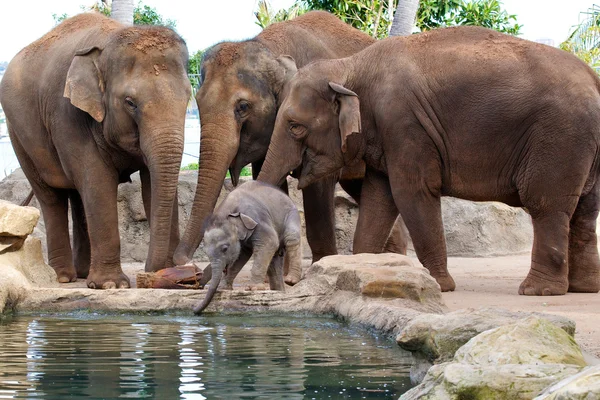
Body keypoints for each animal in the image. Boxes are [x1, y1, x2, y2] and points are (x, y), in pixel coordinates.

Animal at [0, 12, 191, 288]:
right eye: (130, 103)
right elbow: (97, 180)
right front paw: (112, 285)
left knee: (78, 195)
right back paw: (63, 276)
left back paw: (82, 273)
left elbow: (151, 182)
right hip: (18, 134)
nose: (151, 273)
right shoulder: (67, 113)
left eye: (188, 99)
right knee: (51, 196)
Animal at [173, 10, 408, 266]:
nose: (182, 261)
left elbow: (318, 192)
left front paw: (320, 266)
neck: (271, 49)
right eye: (198, 103)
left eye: (243, 107)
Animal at [192, 180, 302, 314]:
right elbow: (241, 255)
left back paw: (291, 281)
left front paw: (253, 288)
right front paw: (224, 288)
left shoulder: (258, 221)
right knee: (274, 260)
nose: (194, 309)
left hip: (291, 214)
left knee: (291, 238)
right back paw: (278, 291)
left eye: (225, 249)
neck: (227, 212)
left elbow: (270, 242)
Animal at [260, 25, 600, 294]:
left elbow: (413, 192)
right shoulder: (388, 134)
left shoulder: (405, 124)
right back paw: (582, 288)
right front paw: (357, 271)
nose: (285, 284)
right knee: (585, 210)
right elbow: (379, 198)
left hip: (560, 137)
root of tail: (594, 78)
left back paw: (537, 291)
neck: (349, 66)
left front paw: (439, 285)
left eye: (295, 126)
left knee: (546, 204)